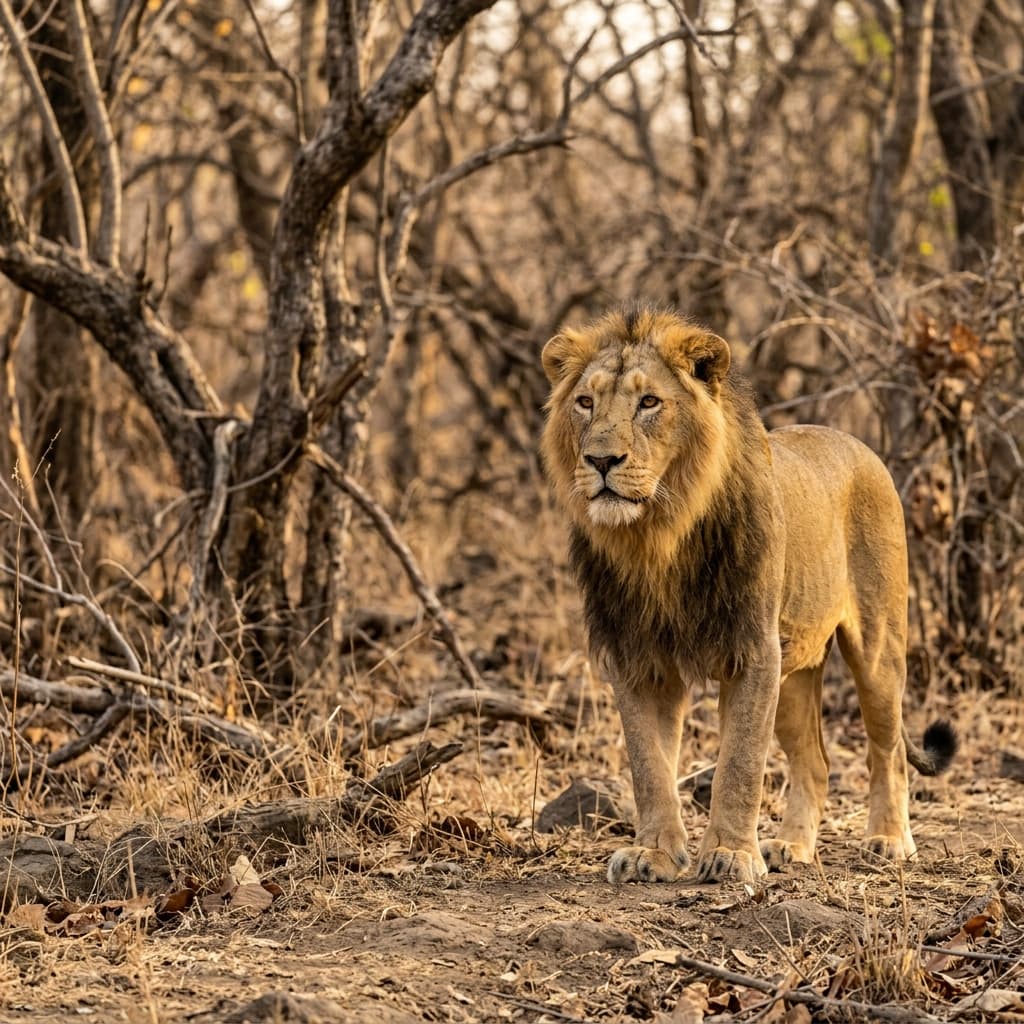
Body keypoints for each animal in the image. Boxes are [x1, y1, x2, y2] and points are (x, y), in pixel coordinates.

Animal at [540, 305, 956, 884]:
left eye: (649, 403)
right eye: (585, 402)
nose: (602, 460)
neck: (656, 539)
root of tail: (856, 443)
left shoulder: (753, 650)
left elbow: (739, 763)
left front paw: (731, 855)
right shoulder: (637, 658)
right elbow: (649, 766)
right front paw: (654, 854)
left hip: (877, 649)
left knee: (888, 749)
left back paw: (890, 841)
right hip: (794, 669)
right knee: (816, 763)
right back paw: (792, 847)